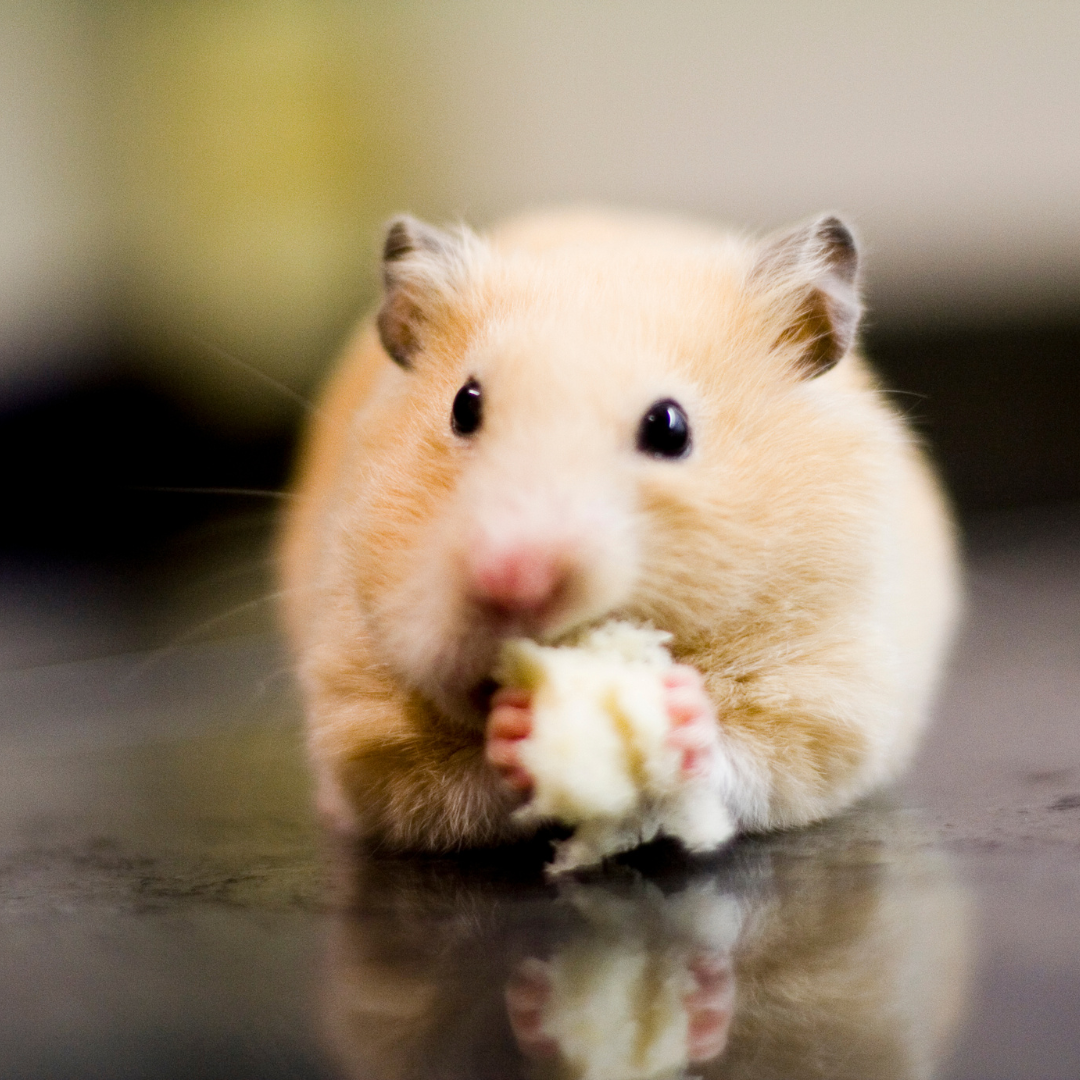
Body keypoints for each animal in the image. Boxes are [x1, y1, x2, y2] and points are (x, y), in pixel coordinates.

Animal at [278, 207, 960, 853]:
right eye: (464, 406)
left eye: (669, 427)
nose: (512, 578)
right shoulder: (365, 724)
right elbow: (442, 782)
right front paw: (515, 726)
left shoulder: (831, 689)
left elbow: (765, 754)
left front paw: (681, 713)